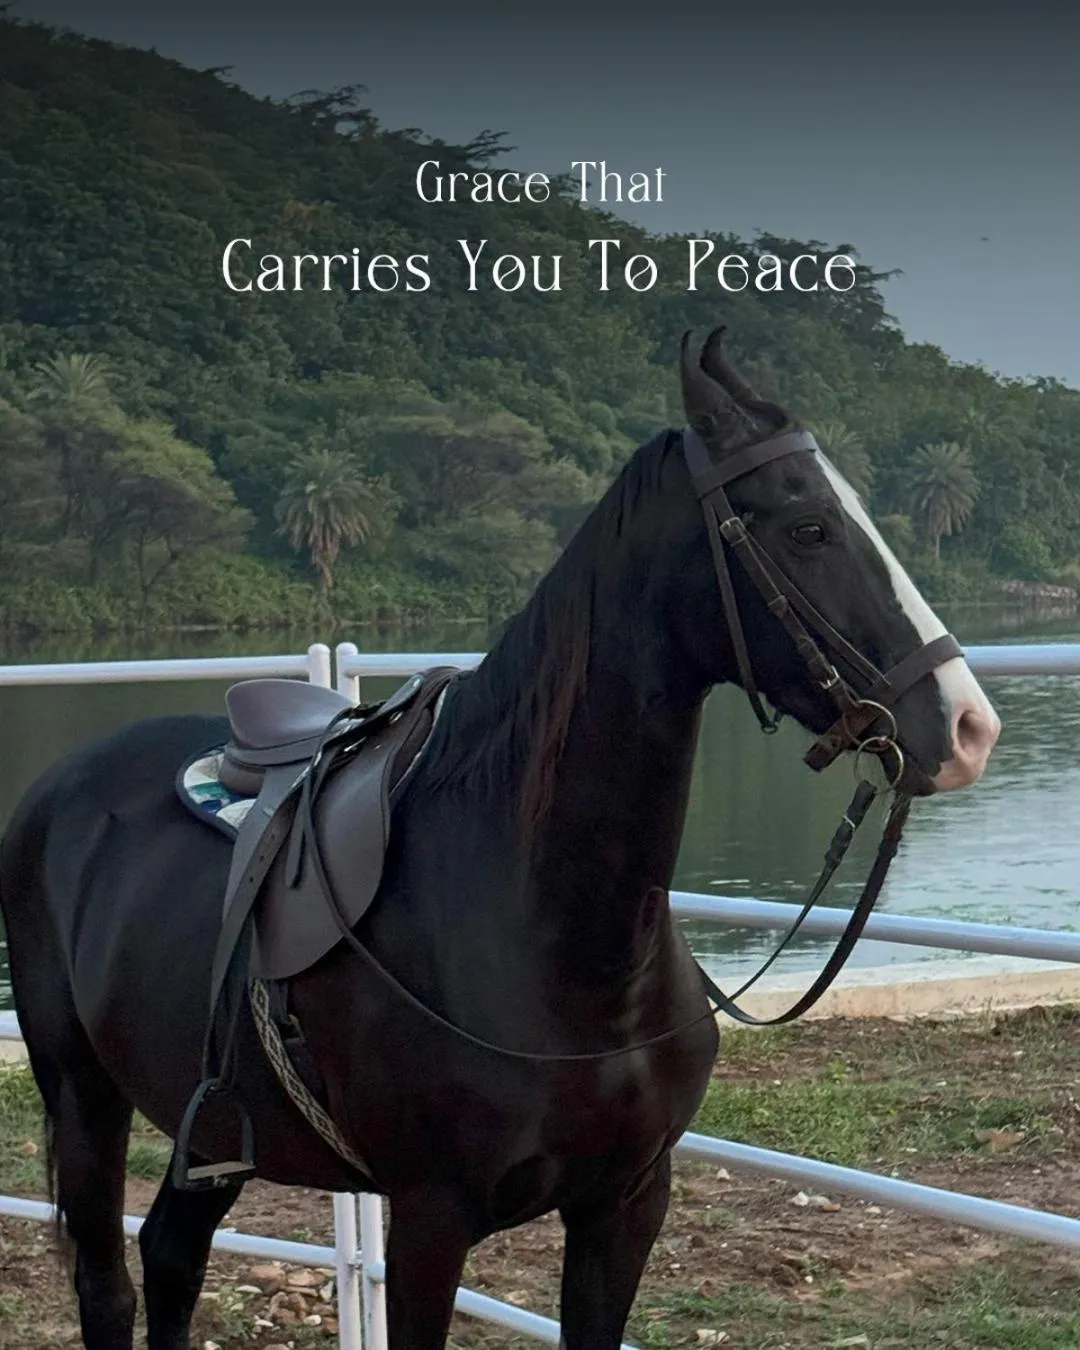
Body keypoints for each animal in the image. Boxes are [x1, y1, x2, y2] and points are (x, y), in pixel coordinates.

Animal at [0, 329, 1000, 1349]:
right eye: (807, 528)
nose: (967, 727)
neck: (552, 934)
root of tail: (62, 787)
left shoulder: (626, 1206)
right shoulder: (430, 1222)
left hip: (207, 1130)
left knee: (171, 1254)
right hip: (81, 1093)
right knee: (109, 1283)